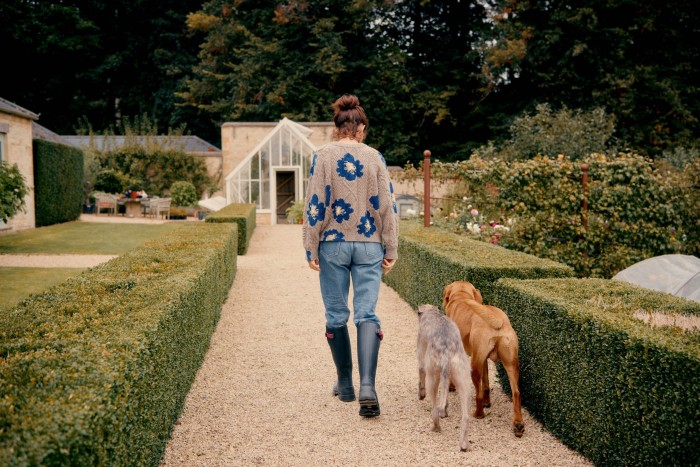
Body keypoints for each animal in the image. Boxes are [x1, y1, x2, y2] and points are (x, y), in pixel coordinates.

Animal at [418, 304, 474, 454]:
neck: (433, 314)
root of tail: (446, 353)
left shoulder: (421, 354)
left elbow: (420, 372)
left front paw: (421, 394)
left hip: (433, 377)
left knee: (435, 408)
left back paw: (436, 427)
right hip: (464, 382)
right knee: (465, 416)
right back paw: (464, 444)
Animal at [442, 282, 524, 438]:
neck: (462, 297)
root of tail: (497, 322)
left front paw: (451, 386)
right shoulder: (484, 359)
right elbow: (486, 383)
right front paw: (488, 402)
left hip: (474, 366)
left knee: (478, 394)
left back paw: (478, 413)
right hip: (511, 364)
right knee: (516, 393)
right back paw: (518, 424)